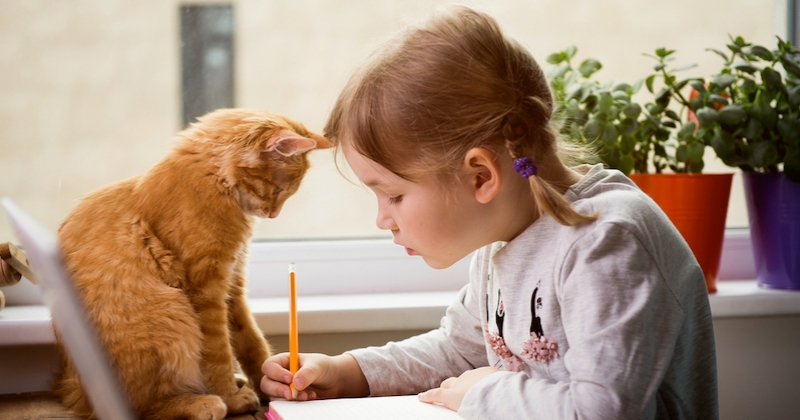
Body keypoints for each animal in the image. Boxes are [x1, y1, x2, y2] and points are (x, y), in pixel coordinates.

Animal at [56, 109, 330, 420]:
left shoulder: (232, 284)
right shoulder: (206, 288)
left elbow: (250, 341)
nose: (273, 214)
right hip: (170, 311)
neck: (216, 184)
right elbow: (218, 352)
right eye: (277, 189)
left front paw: (271, 382)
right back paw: (203, 402)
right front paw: (231, 396)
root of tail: (76, 393)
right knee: (139, 407)